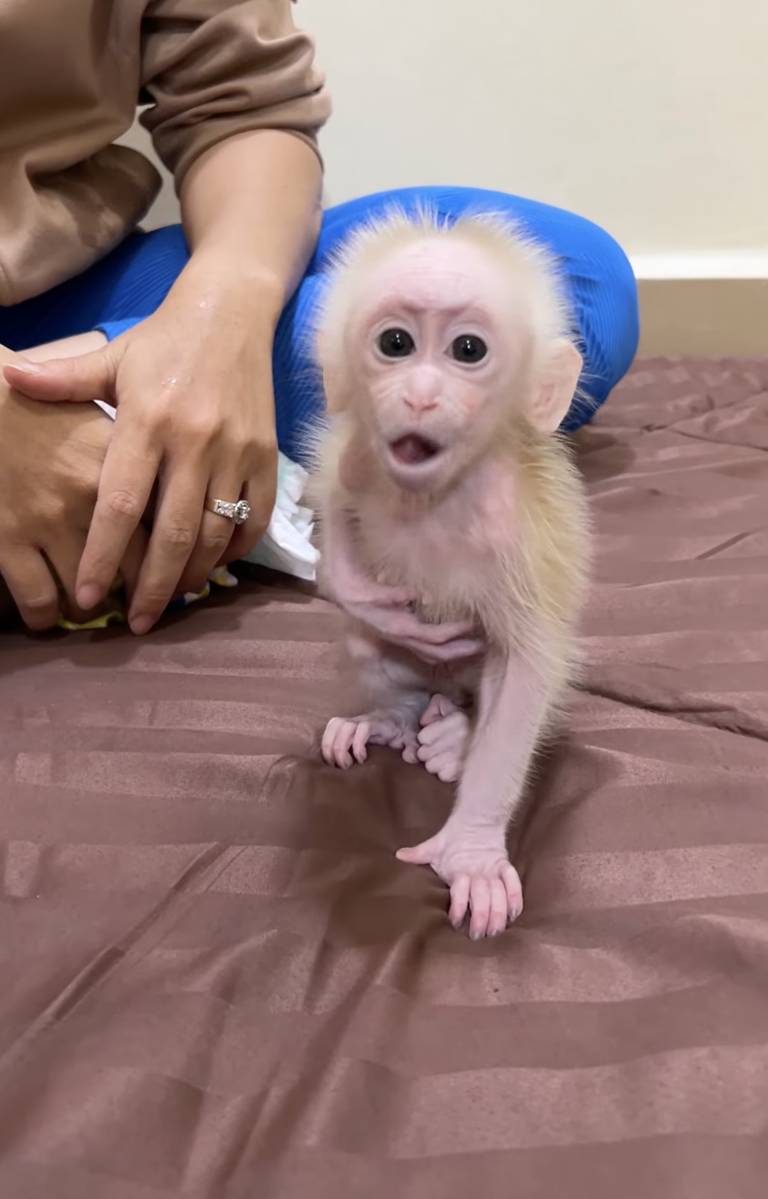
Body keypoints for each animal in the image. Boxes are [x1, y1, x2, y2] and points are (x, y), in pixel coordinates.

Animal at [306, 206, 591, 940]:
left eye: (468, 350)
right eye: (396, 343)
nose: (422, 396)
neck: (437, 495)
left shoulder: (518, 530)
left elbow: (526, 670)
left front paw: (471, 852)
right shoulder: (359, 458)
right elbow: (335, 497)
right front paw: (358, 591)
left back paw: (455, 739)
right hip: (410, 677)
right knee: (370, 650)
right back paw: (392, 722)